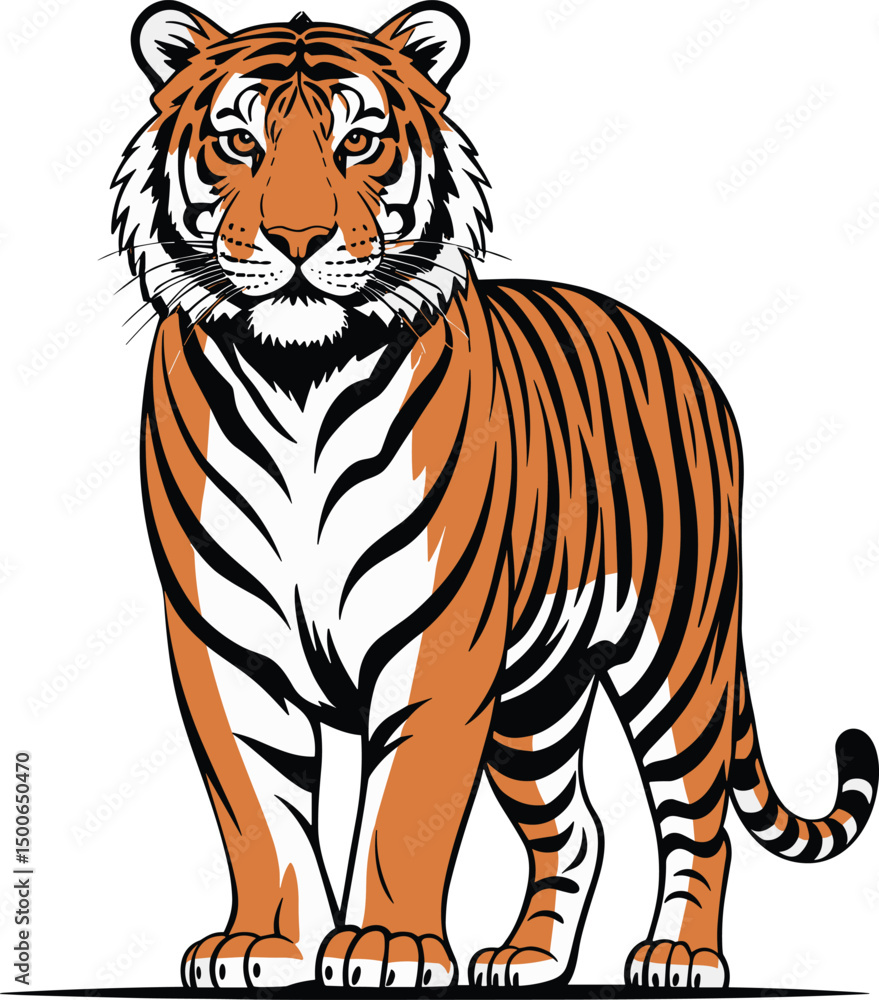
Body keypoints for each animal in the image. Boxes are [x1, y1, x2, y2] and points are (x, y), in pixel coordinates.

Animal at [113, 0, 879, 990]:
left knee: (698, 818)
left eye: (359, 141)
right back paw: (527, 956)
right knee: (575, 827)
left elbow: (405, 809)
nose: (298, 240)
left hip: (677, 651)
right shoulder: (224, 645)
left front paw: (387, 949)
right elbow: (255, 807)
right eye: (238, 141)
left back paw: (678, 955)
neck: (301, 380)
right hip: (536, 693)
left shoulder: (442, 640)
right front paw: (263, 946)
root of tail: (685, 355)